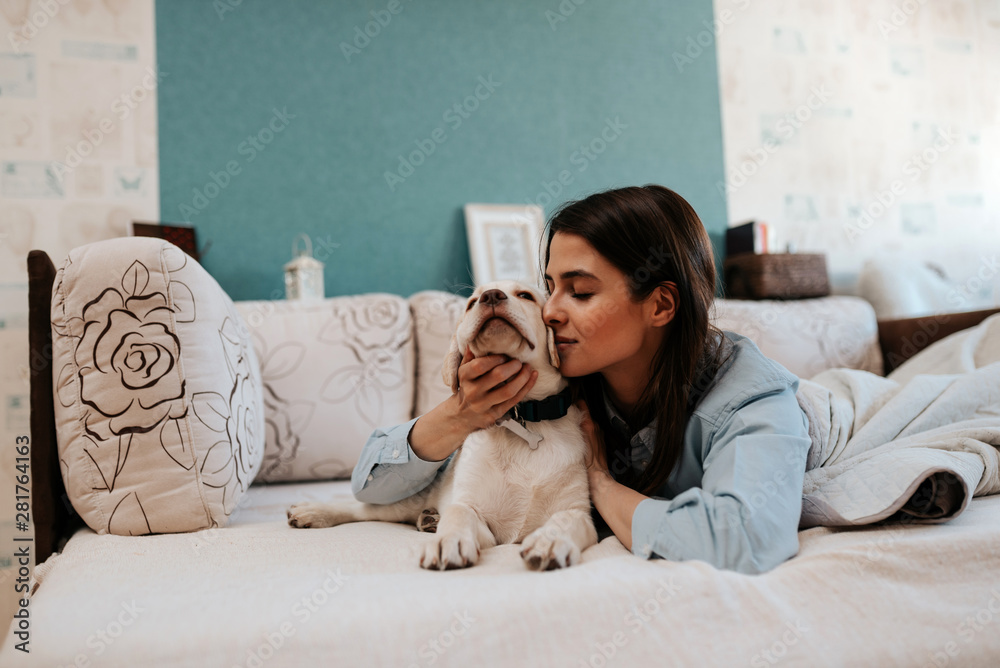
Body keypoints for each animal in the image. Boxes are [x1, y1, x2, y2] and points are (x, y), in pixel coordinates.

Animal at [286, 280, 596, 568]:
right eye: (471, 303)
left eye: (525, 296)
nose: (491, 296)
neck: (525, 420)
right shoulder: (471, 507)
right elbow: (459, 513)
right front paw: (449, 541)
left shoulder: (579, 510)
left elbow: (569, 519)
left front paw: (550, 540)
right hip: (406, 501)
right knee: (363, 508)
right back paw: (313, 512)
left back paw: (429, 520)